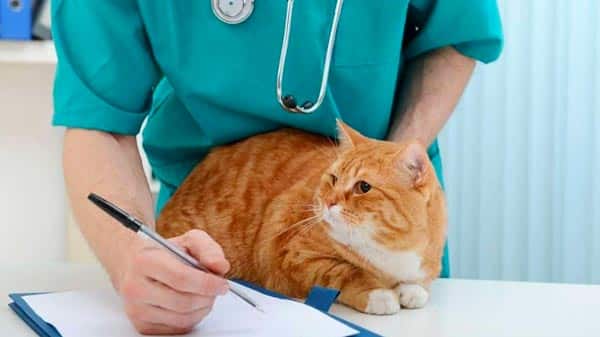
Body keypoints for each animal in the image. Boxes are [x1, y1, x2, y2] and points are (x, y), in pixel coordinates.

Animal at [157, 121, 448, 316]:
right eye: (333, 179)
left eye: (363, 187)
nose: (329, 202)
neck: (391, 254)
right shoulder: (292, 254)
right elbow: (345, 272)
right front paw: (378, 294)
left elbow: (418, 283)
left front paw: (412, 289)